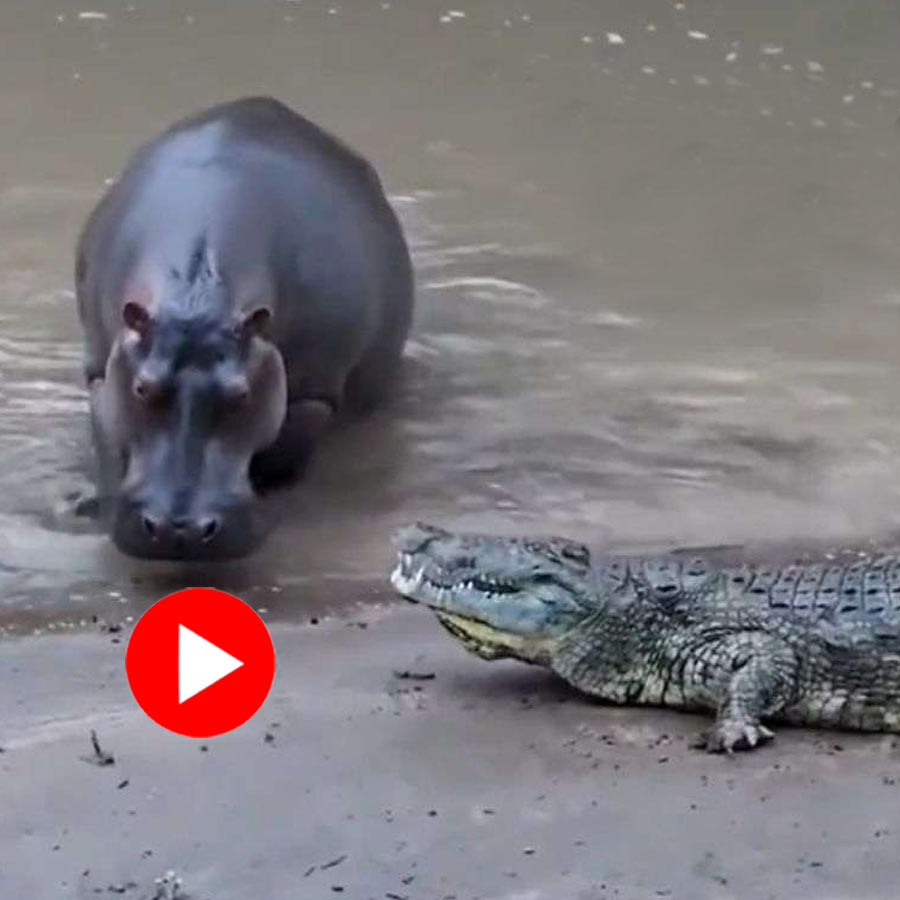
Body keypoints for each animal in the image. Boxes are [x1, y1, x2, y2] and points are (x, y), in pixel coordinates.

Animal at [76, 97, 414, 560]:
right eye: (142, 388)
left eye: (241, 394)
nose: (178, 529)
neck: (197, 298)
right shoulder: (102, 373)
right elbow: (109, 446)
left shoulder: (313, 394)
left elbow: (279, 458)